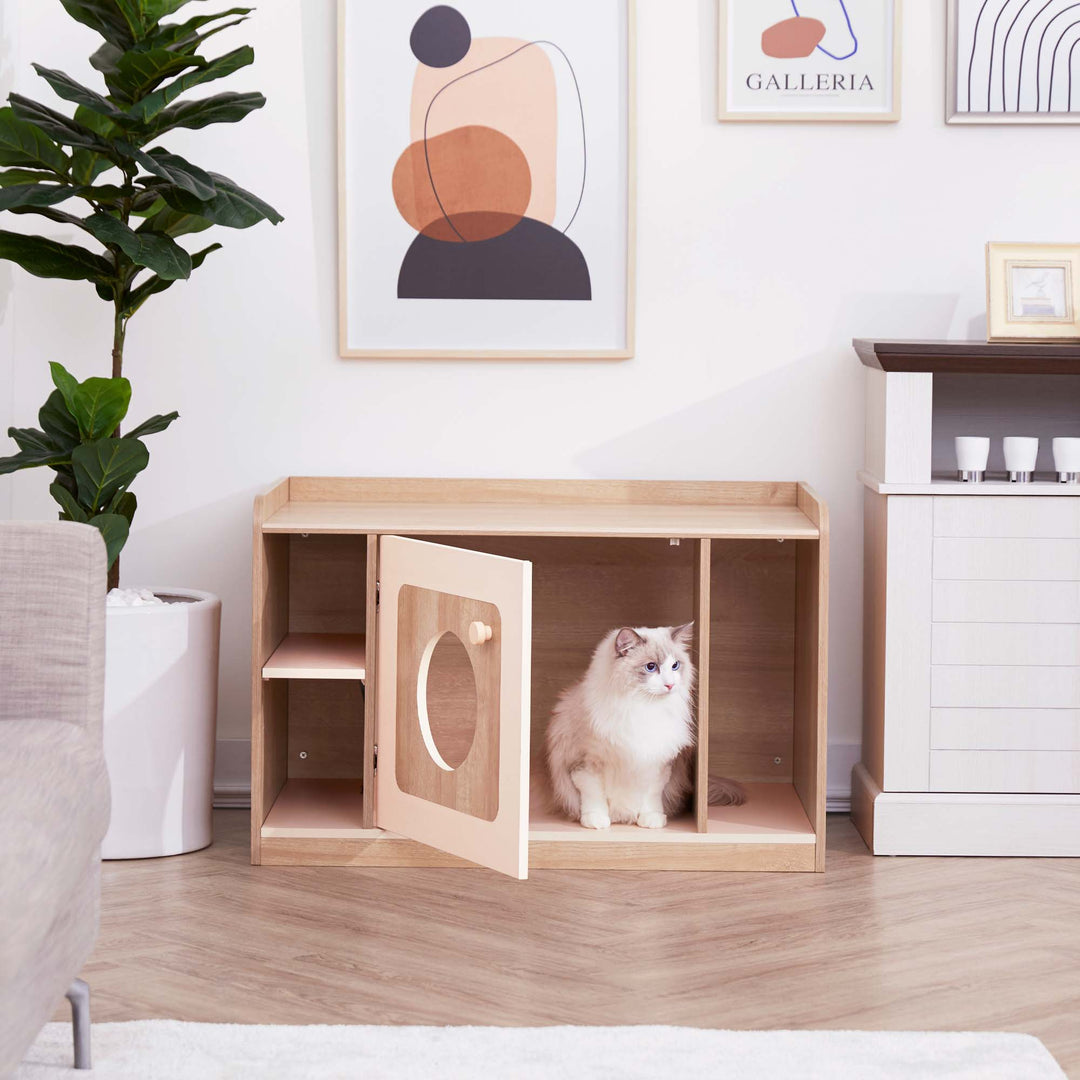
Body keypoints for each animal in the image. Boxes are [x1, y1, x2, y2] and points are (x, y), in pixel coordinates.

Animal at [548, 622, 743, 829]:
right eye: (651, 667)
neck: (642, 707)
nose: (670, 685)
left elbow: (651, 796)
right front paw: (597, 820)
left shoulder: (659, 763)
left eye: (675, 665)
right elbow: (594, 796)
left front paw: (652, 819)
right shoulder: (584, 764)